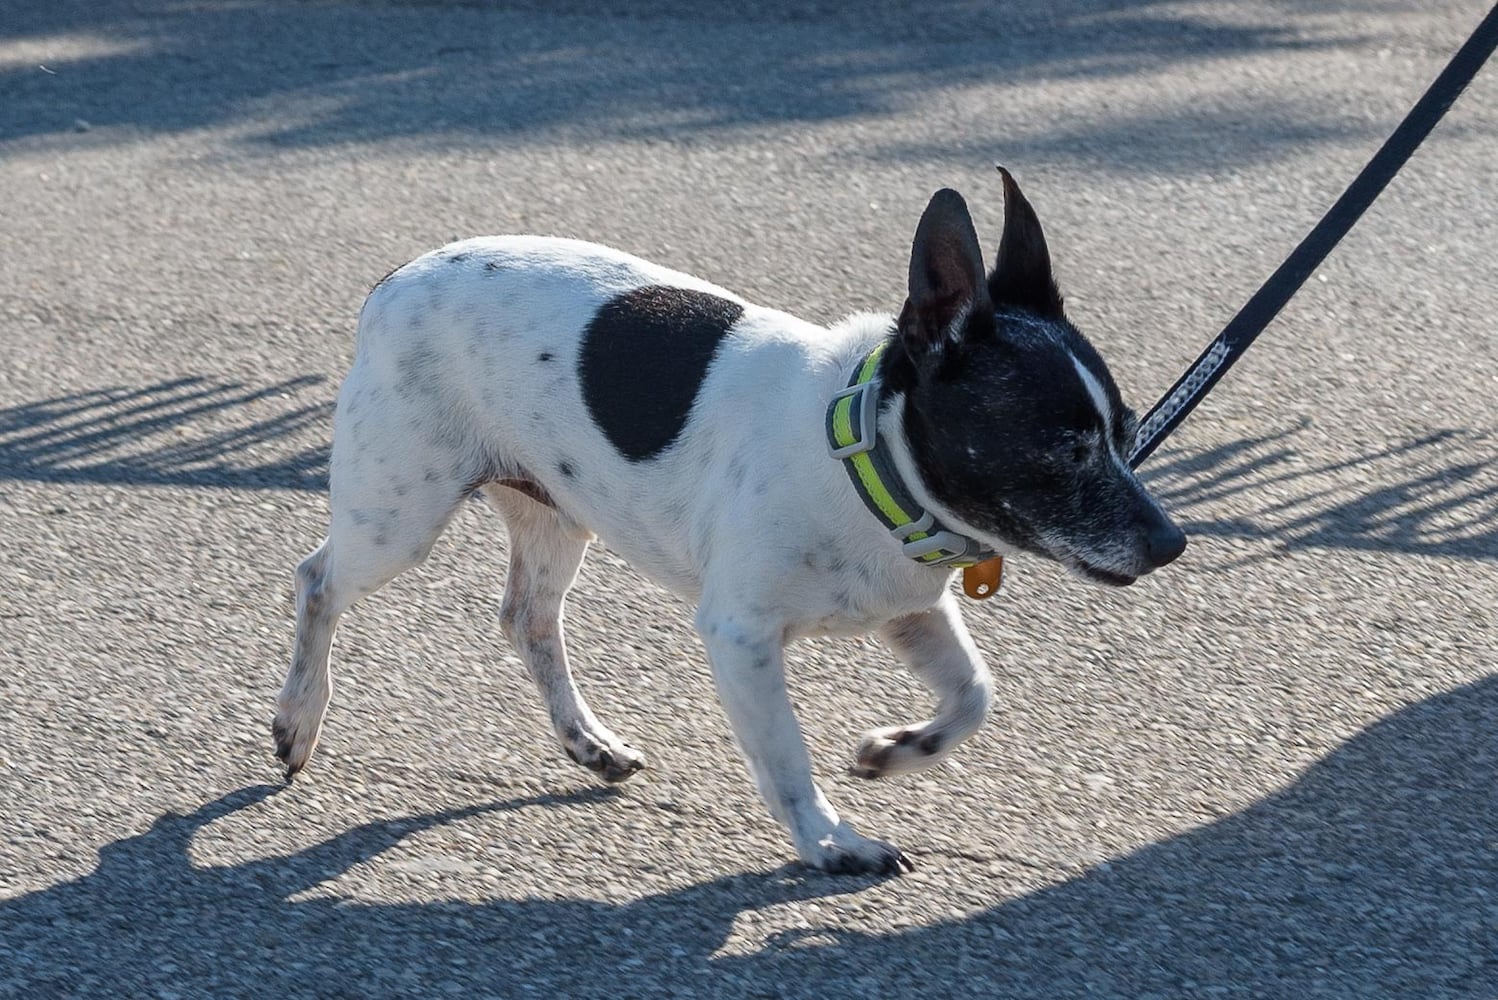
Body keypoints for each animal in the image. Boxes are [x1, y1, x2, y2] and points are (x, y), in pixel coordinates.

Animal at [275, 172, 1186, 874]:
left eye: (1128, 431)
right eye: (1063, 449)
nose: (1172, 543)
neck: (859, 451)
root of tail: (397, 278)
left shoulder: (913, 611)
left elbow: (974, 693)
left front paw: (900, 748)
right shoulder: (741, 637)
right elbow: (785, 755)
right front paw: (829, 841)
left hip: (554, 515)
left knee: (528, 619)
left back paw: (587, 740)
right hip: (399, 517)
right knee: (317, 581)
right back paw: (298, 719)